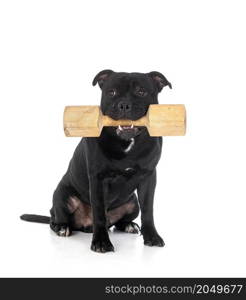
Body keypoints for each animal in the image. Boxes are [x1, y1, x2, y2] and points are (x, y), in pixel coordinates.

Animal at [20, 69, 171, 252]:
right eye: (111, 92)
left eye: (141, 91)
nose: (124, 105)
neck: (127, 143)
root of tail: (84, 225)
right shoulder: (98, 179)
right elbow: (99, 213)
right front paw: (101, 242)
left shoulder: (148, 177)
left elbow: (148, 210)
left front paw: (152, 236)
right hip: (62, 195)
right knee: (54, 218)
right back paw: (62, 227)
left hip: (133, 203)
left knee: (119, 222)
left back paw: (129, 225)